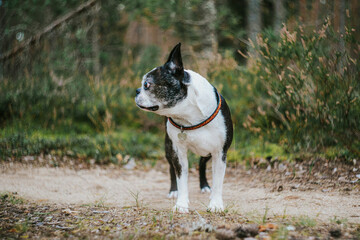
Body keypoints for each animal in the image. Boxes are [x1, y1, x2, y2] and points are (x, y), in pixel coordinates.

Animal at [135, 42, 233, 212]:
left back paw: (205, 186)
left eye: (147, 84)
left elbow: (218, 181)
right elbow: (181, 179)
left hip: (208, 152)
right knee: (171, 169)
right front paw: (181, 203)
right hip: (168, 147)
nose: (137, 90)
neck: (190, 117)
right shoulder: (178, 152)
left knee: (202, 164)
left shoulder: (220, 152)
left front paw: (215, 203)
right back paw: (173, 190)